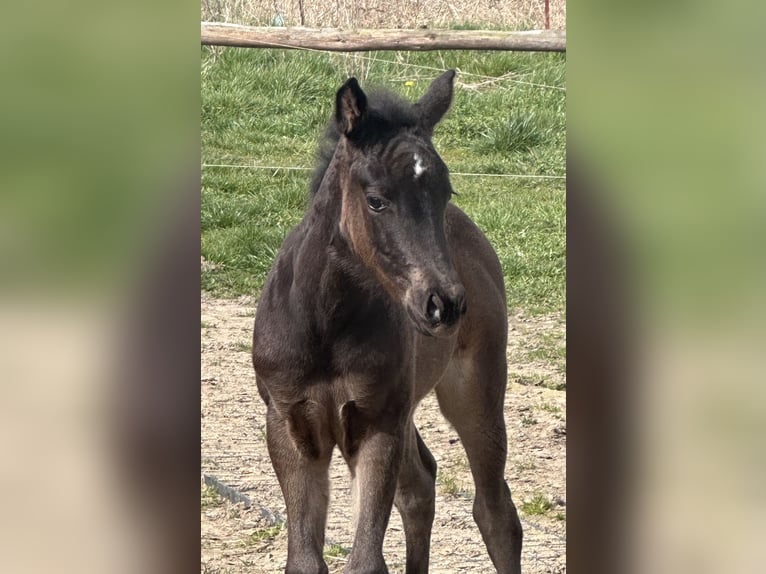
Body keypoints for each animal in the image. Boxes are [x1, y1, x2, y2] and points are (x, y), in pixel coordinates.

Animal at [252, 70, 522, 574]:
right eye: (376, 201)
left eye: (445, 192)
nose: (444, 304)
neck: (327, 323)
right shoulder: (289, 424)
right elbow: (305, 559)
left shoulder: (377, 423)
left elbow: (365, 559)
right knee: (420, 485)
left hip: (473, 389)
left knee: (495, 513)